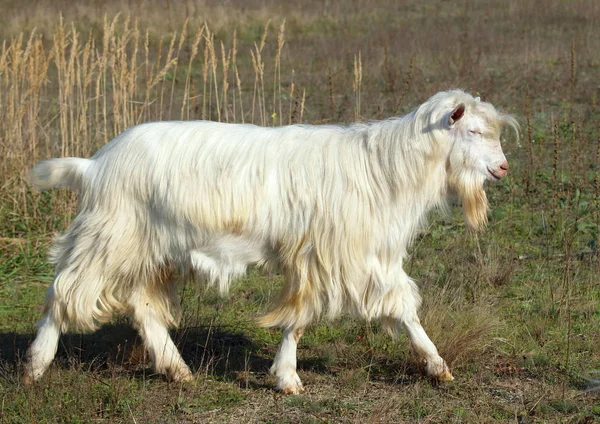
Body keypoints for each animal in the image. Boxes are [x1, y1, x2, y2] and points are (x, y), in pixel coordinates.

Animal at [25, 89, 516, 394]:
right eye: (473, 131)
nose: (503, 167)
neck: (384, 170)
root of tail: (94, 165)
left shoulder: (360, 255)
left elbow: (399, 308)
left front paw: (437, 367)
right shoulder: (331, 256)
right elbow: (306, 317)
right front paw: (288, 378)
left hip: (152, 251)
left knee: (143, 307)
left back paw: (178, 370)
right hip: (110, 236)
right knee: (62, 293)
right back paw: (34, 367)